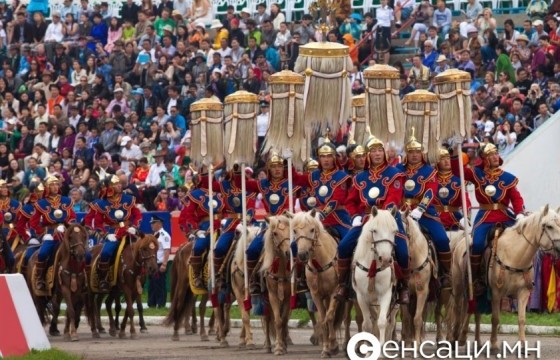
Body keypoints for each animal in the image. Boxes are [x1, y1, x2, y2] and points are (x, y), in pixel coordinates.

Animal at [350, 207, 398, 348]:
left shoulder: (386, 294)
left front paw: (381, 347)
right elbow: (367, 325)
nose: (386, 260)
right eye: (374, 230)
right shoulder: (361, 297)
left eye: (394, 231)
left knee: (390, 323)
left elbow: (382, 322)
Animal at [400, 211, 436, 346]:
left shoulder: (422, 291)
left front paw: (416, 345)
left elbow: (417, 318)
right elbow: (406, 318)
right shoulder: (404, 292)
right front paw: (407, 343)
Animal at [448, 205, 560, 352]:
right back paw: (455, 338)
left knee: (475, 311)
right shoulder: (496, 293)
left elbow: (522, 319)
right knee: (457, 309)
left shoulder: (523, 292)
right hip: (459, 285)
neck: (514, 256)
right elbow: (495, 319)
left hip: (479, 291)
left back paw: (475, 341)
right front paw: (494, 344)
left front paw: (522, 345)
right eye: (549, 226)